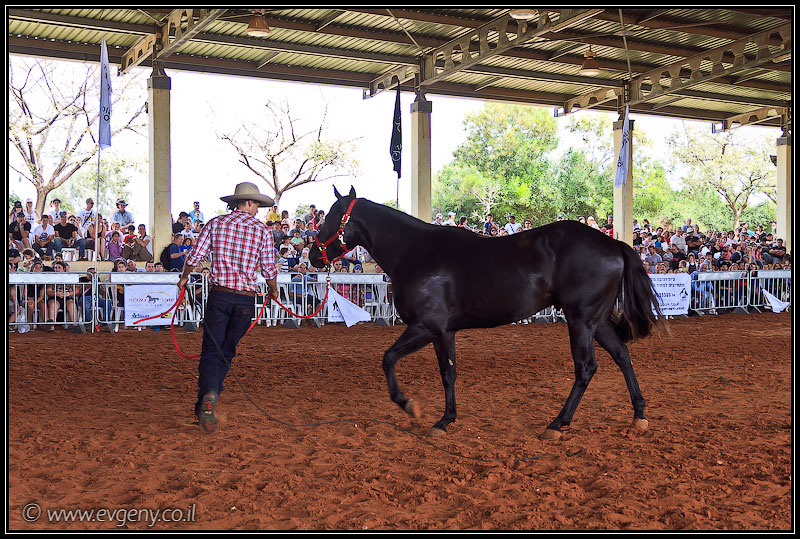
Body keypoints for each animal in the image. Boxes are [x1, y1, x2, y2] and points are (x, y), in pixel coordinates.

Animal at [309, 186, 662, 440]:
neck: (415, 252)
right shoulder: (444, 331)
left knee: (586, 368)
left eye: (329, 218)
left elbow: (390, 359)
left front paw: (410, 406)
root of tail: (613, 244)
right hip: (596, 320)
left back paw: (557, 424)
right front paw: (446, 420)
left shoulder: (426, 326)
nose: (313, 256)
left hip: (580, 320)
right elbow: (448, 373)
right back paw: (639, 416)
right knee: (622, 355)